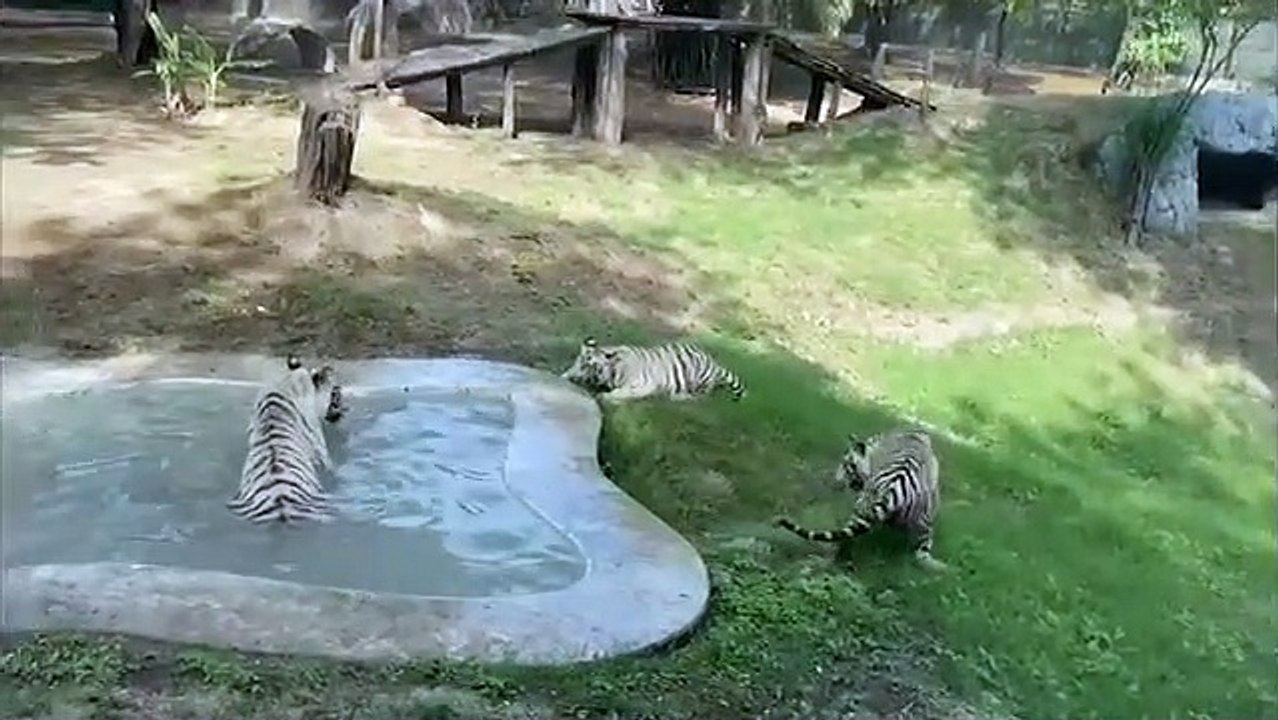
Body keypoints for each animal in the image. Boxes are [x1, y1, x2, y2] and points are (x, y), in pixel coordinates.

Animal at [559, 337, 745, 402]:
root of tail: (713, 362)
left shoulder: (645, 385)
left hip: (700, 378)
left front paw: (605, 396)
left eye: (589, 365)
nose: (574, 378)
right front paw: (563, 376)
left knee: (702, 394)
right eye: (579, 362)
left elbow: (624, 392)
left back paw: (679, 397)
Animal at [775, 428, 946, 571]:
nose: (837, 480)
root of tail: (894, 486)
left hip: (864, 509)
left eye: (846, 466)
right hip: (923, 523)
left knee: (847, 538)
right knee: (922, 553)